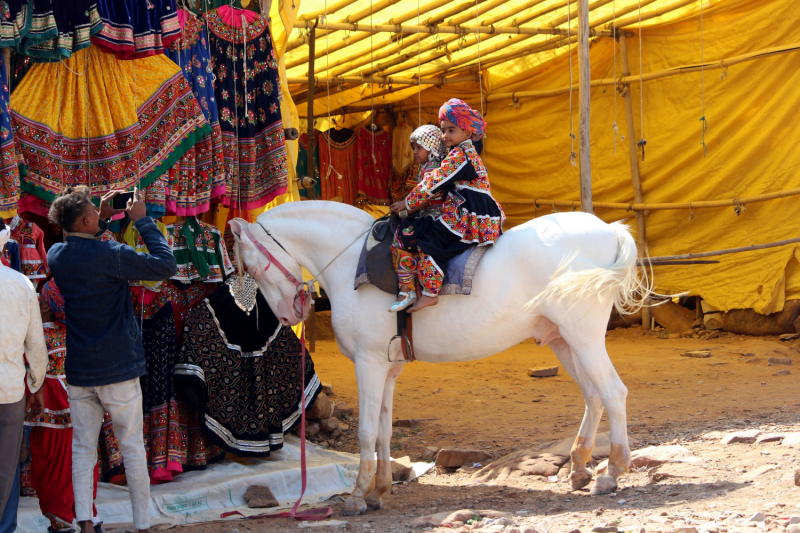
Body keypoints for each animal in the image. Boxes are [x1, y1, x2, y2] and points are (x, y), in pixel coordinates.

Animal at [228, 201, 648, 516]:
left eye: (253, 268)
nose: (289, 316)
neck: (351, 263)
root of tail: (607, 229)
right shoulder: (388, 368)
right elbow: (383, 430)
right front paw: (378, 490)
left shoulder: (368, 364)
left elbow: (365, 431)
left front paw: (357, 495)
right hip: (563, 340)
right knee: (593, 396)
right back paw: (579, 468)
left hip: (583, 335)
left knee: (613, 393)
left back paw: (612, 472)